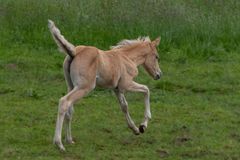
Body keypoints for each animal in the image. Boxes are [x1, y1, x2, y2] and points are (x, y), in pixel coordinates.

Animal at [48, 19, 162, 151]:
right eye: (156, 57)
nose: (159, 75)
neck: (127, 57)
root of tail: (74, 52)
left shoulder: (116, 89)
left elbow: (124, 106)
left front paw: (135, 129)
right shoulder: (126, 85)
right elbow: (146, 89)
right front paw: (143, 125)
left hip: (71, 86)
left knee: (70, 110)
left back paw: (69, 140)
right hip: (84, 87)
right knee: (64, 102)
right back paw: (59, 144)